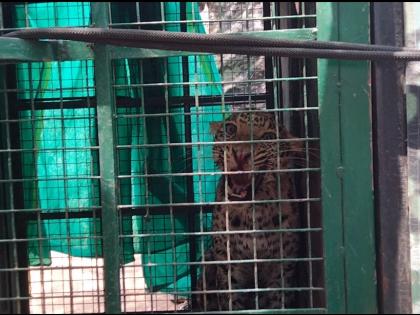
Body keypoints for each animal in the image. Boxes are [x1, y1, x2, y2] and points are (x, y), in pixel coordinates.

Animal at [195, 111, 304, 312]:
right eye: (231, 129)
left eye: (268, 137)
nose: (240, 154)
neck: (252, 214)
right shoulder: (228, 262)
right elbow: (231, 299)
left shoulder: (282, 266)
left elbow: (278, 299)